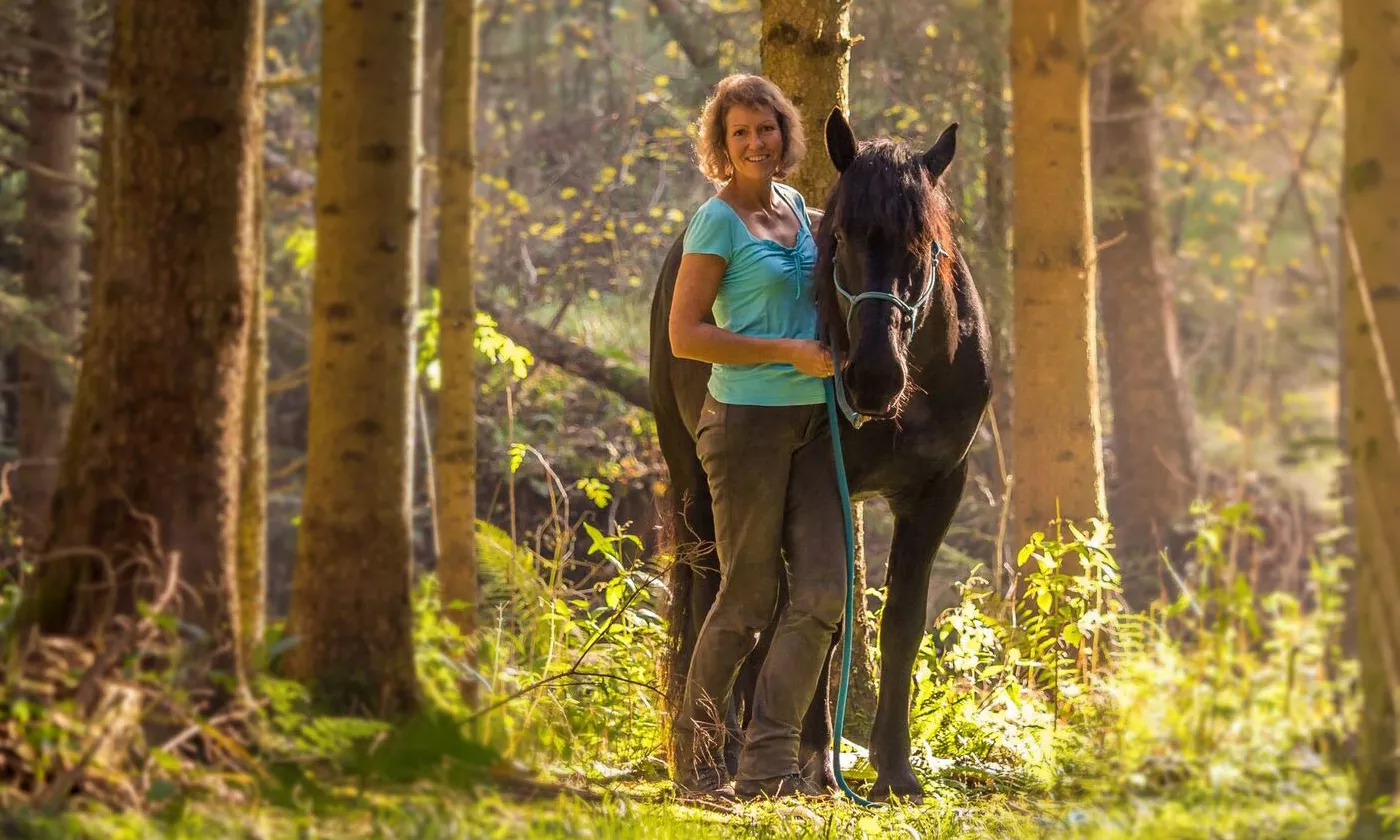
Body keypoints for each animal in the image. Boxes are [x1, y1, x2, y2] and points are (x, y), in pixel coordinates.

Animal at [648, 107, 992, 800]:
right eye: (841, 240)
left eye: (923, 245)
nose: (872, 378)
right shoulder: (828, 480)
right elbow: (827, 625)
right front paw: (816, 761)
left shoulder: (938, 490)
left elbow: (898, 621)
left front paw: (894, 770)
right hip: (693, 478)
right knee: (713, 592)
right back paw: (720, 747)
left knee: (767, 600)